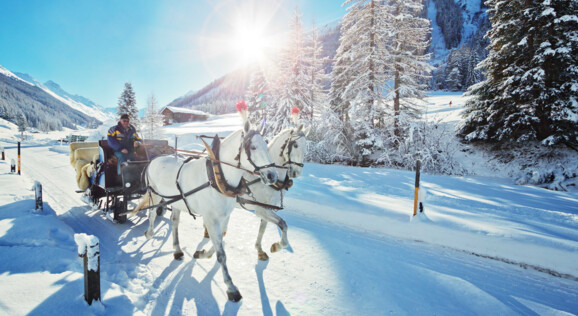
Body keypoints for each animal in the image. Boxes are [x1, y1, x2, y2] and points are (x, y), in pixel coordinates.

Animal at [136, 114, 280, 302]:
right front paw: (231, 287)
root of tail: (153, 159)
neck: (217, 179)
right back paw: (149, 233)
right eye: (254, 147)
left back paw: (177, 250)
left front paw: (203, 254)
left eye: (266, 145)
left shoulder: (224, 217)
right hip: (155, 195)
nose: (272, 176)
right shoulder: (211, 219)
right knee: (152, 213)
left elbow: (220, 242)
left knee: (174, 222)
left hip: (176, 201)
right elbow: (222, 254)